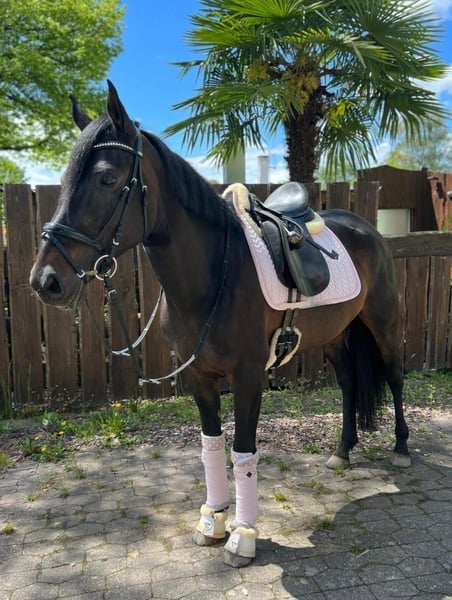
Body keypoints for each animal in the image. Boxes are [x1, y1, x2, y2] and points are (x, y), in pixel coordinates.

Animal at [30, 81, 410, 567]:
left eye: (107, 179)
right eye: (62, 182)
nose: (46, 281)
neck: (214, 273)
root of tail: (368, 228)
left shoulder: (248, 375)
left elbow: (243, 451)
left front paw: (243, 536)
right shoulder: (199, 376)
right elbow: (211, 446)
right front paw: (212, 521)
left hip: (383, 324)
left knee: (395, 376)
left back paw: (401, 448)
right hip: (335, 334)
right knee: (347, 384)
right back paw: (342, 452)